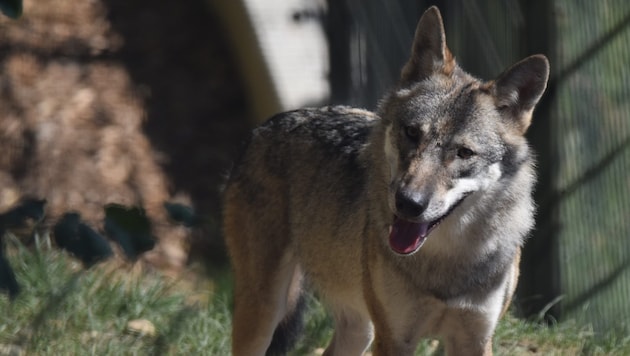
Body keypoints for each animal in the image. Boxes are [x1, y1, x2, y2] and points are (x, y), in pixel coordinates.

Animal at [225, 5, 552, 356]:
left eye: (464, 153)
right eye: (412, 133)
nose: (408, 203)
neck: (445, 263)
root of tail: (267, 124)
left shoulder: (475, 340)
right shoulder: (395, 338)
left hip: (359, 330)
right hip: (265, 312)